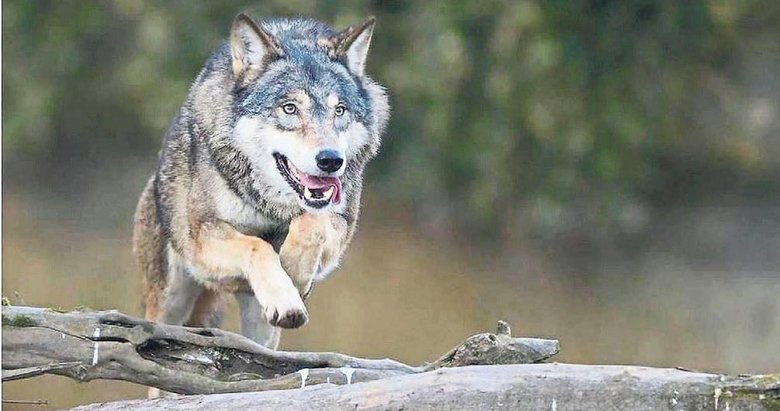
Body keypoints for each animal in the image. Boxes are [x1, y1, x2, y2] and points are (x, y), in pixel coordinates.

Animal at [136, 12, 390, 350]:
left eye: (339, 110)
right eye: (289, 108)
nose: (331, 160)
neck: (270, 207)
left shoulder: (340, 224)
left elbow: (312, 223)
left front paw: (294, 270)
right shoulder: (204, 240)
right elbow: (257, 245)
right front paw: (286, 286)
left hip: (258, 322)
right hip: (171, 300)